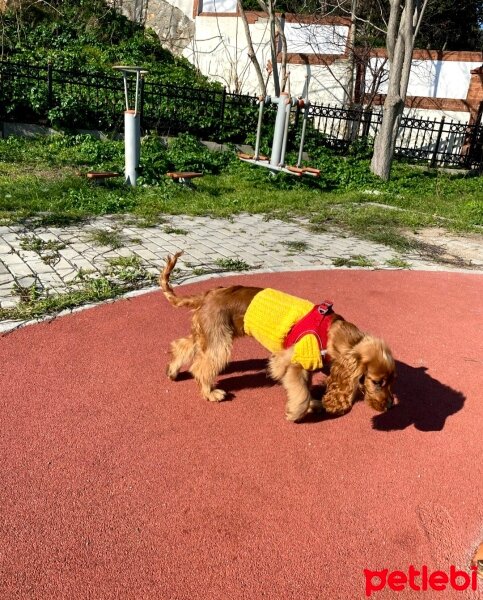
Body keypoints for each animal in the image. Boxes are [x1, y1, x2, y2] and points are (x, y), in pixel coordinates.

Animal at [161, 253, 396, 422]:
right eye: (377, 382)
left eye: (391, 381)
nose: (390, 406)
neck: (332, 332)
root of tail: (208, 294)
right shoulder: (290, 360)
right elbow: (300, 392)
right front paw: (297, 413)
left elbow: (306, 388)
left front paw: (314, 405)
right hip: (219, 341)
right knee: (201, 367)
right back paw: (210, 392)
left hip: (206, 334)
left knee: (182, 346)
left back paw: (173, 371)